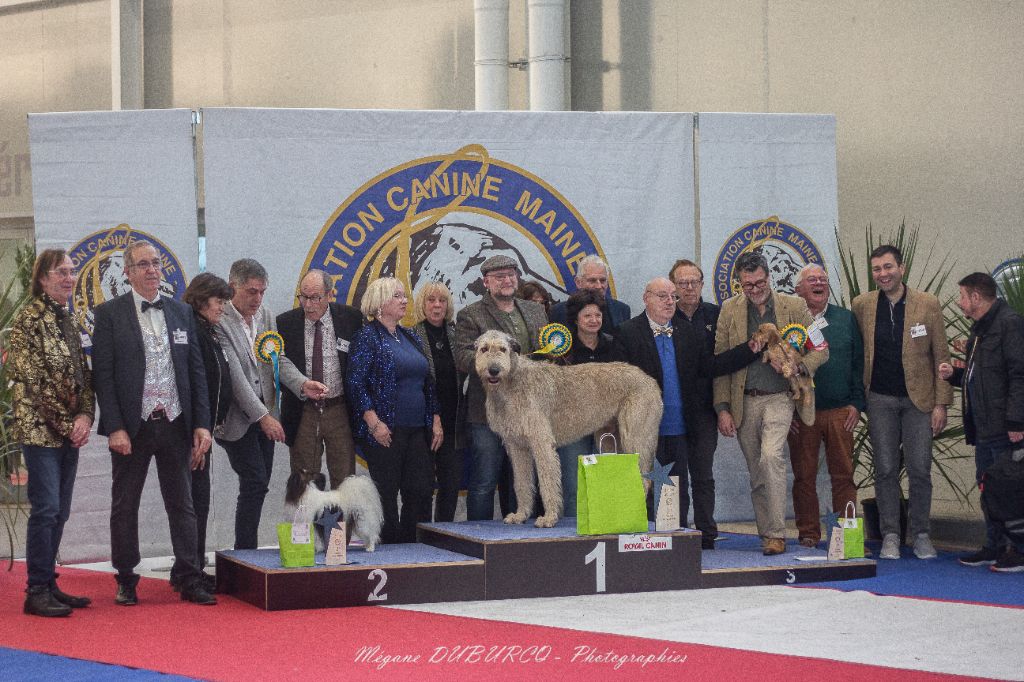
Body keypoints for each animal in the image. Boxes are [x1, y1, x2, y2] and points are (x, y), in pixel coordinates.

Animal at [473, 329, 663, 524]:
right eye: (484, 349)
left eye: (503, 349)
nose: (493, 370)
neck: (512, 380)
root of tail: (649, 379)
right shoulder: (517, 447)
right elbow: (521, 483)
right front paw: (521, 515)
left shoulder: (542, 443)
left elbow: (547, 481)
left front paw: (549, 517)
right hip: (610, 439)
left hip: (635, 437)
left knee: (645, 479)